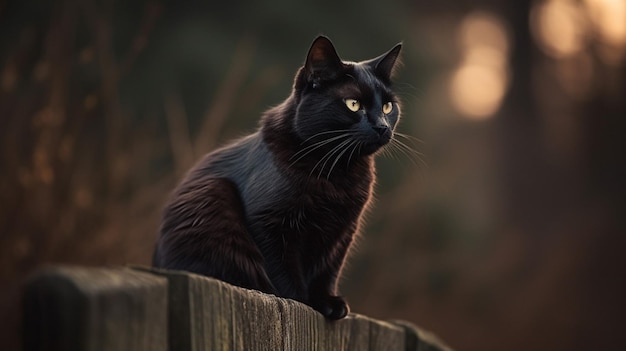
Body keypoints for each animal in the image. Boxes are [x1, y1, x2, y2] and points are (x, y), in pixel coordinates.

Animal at [154, 36, 402, 322]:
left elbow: (328, 270)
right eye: (353, 104)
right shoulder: (269, 224)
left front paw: (328, 302)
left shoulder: (343, 231)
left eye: (387, 106)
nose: (382, 126)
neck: (336, 170)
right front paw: (301, 301)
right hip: (211, 196)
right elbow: (282, 270)